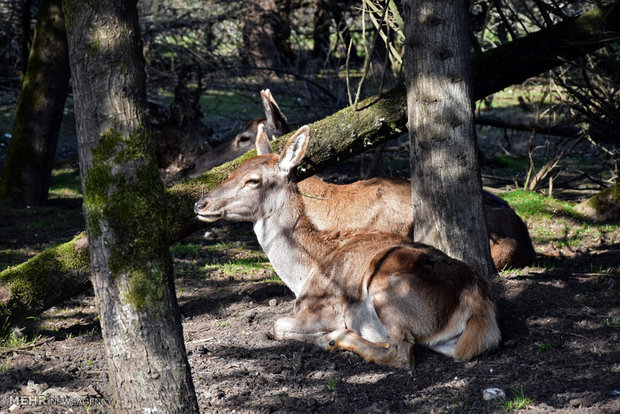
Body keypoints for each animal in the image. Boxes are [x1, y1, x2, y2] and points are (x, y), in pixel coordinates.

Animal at [196, 124, 502, 368]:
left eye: (253, 180)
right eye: (233, 171)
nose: (200, 204)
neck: (302, 273)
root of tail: (476, 300)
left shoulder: (323, 308)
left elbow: (277, 324)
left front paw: (321, 337)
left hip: (386, 290)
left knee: (401, 353)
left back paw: (336, 338)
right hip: (444, 340)